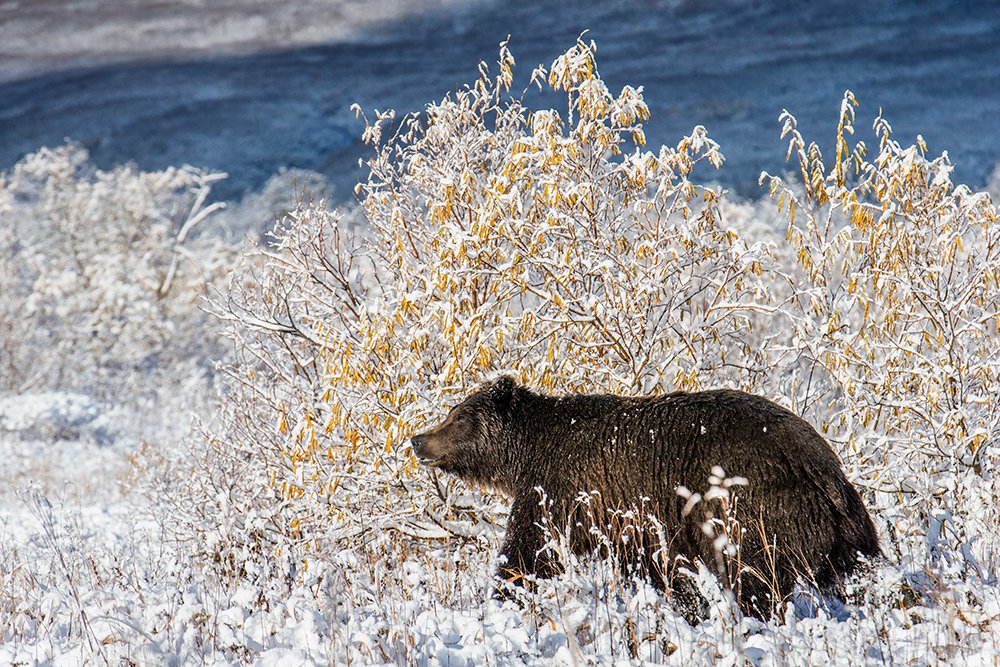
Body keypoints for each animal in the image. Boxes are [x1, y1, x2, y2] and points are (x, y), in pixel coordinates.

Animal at [410, 378, 880, 620]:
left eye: (457, 417)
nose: (417, 439)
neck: (528, 452)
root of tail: (823, 464)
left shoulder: (561, 491)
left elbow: (531, 550)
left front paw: (502, 595)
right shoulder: (631, 520)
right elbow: (656, 567)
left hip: (753, 507)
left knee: (753, 575)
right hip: (845, 527)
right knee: (857, 571)